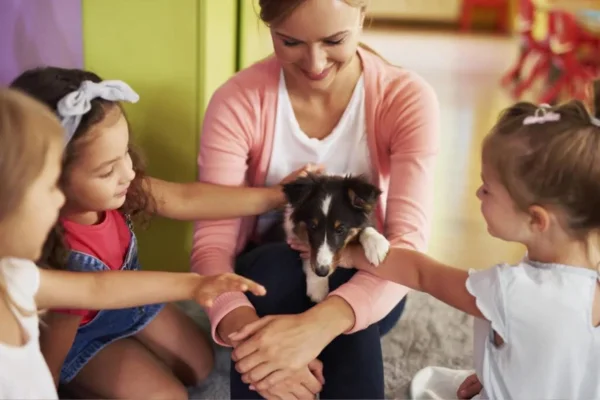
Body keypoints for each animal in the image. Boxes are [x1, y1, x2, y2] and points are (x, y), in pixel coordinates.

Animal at [270, 173, 392, 302]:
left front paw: (377, 245)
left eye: (340, 229)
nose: (321, 272)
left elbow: (366, 227)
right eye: (312, 226)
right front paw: (318, 285)